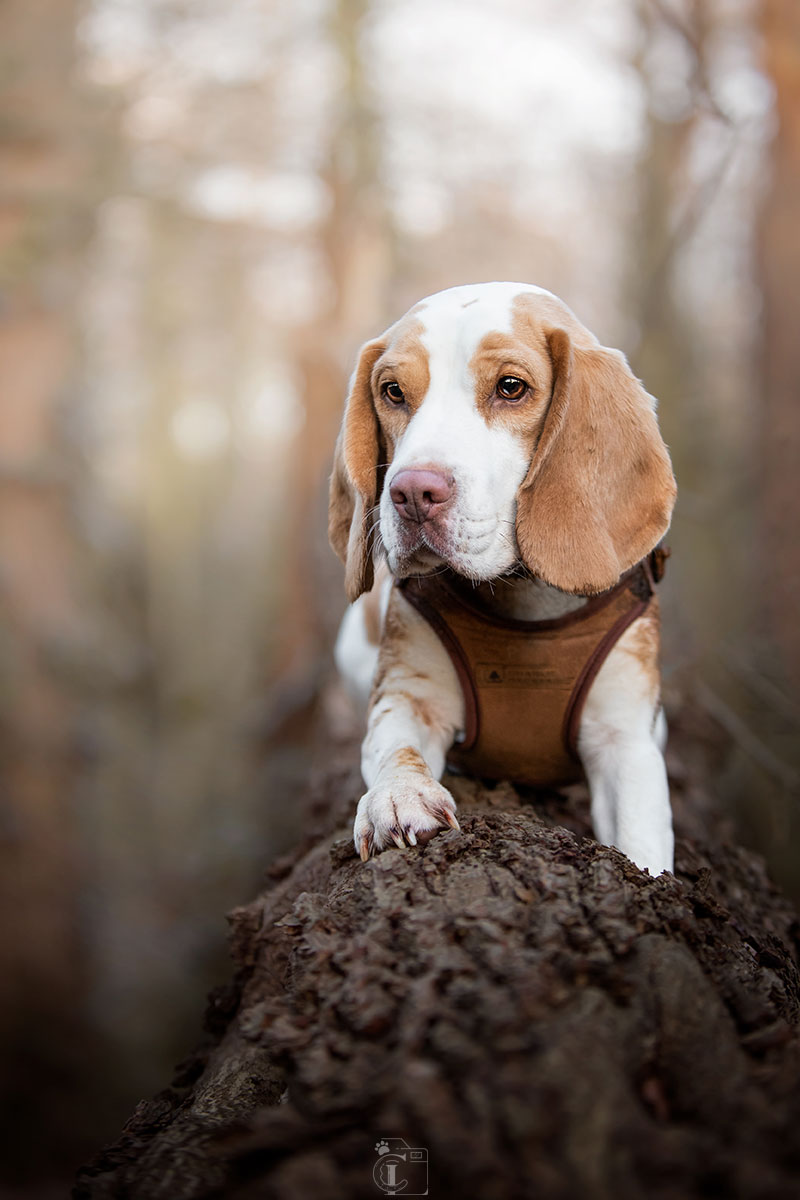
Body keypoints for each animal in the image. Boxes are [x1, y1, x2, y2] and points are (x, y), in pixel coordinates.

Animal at [331, 285, 676, 878]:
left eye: (511, 387)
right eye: (393, 392)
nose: (412, 493)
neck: (523, 600)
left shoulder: (625, 741)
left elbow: (643, 844)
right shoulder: (407, 694)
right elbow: (396, 745)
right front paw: (399, 797)